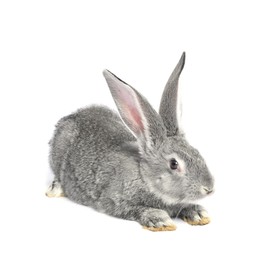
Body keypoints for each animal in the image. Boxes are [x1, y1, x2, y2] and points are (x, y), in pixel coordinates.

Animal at [46, 52, 213, 232]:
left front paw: (198, 214)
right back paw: (55, 189)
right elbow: (134, 209)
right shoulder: (114, 201)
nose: (209, 188)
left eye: (197, 152)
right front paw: (159, 219)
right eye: (174, 164)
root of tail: (70, 117)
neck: (144, 177)